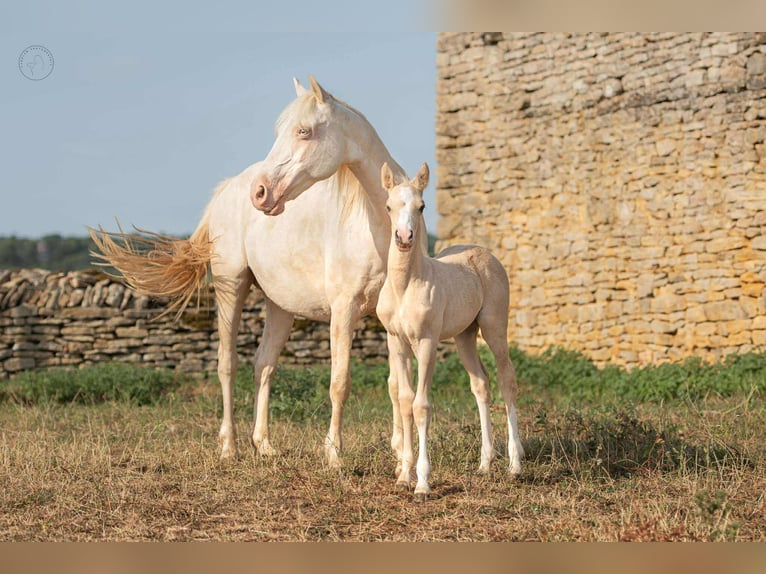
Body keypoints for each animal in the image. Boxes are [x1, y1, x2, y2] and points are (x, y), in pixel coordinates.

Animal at [90, 77, 411, 468]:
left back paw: (264, 444)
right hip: (232, 286)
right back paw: (230, 447)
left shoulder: (390, 317)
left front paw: (400, 453)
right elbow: (340, 382)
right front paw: (334, 455)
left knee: (264, 364)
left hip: (280, 306)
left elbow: (395, 384)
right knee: (228, 364)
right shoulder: (343, 311)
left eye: (304, 131)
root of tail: (228, 188)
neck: (377, 226)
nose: (261, 193)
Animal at [376, 162, 524, 500]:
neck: (405, 286)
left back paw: (514, 465)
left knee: (507, 381)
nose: (404, 237)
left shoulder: (426, 342)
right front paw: (403, 475)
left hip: (494, 327)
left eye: (421, 206)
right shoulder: (397, 342)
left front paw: (422, 483)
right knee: (481, 384)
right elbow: (404, 400)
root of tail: (484, 253)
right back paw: (484, 464)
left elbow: (421, 405)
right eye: (389, 206)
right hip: (465, 336)